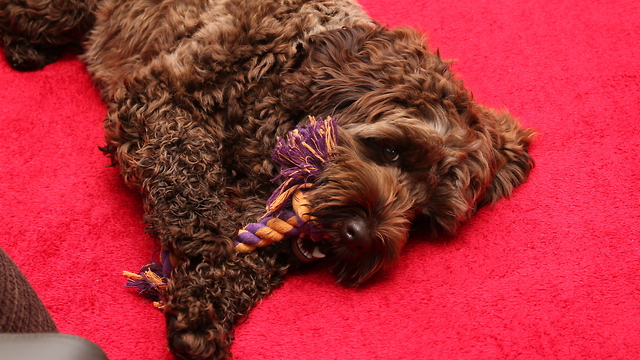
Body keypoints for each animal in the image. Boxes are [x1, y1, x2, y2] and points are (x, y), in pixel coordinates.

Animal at [0, 0, 536, 358]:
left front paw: (202, 310)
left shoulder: (273, 199)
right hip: (58, 12)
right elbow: (186, 171)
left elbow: (255, 252)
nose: (358, 236)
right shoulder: (157, 100)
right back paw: (26, 48)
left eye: (425, 218)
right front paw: (205, 236)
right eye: (390, 150)